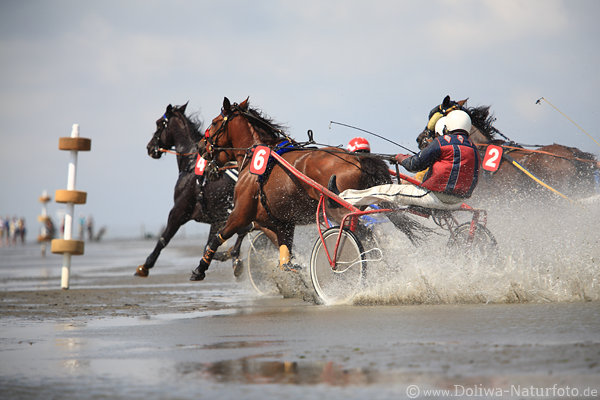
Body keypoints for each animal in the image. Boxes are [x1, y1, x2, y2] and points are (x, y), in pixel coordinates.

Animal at [135, 103, 250, 278]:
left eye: (158, 124)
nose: (149, 147)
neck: (191, 167)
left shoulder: (178, 211)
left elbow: (164, 239)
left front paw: (145, 265)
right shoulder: (217, 219)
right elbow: (209, 245)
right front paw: (227, 255)